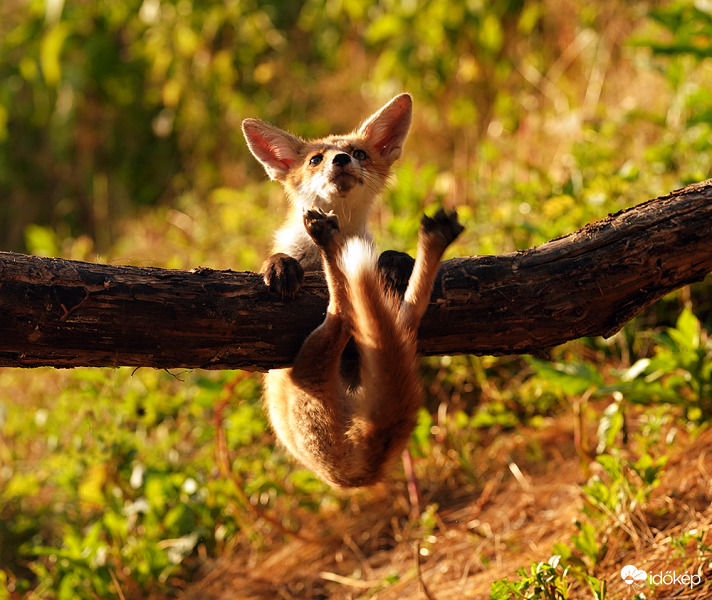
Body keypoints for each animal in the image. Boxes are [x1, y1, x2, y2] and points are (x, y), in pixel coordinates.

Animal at [241, 95, 462, 488]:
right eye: (315, 159)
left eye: (359, 153)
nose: (341, 160)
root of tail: (356, 473)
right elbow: (278, 258)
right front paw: (280, 267)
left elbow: (386, 259)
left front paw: (395, 260)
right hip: (309, 367)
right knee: (347, 312)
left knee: (368, 311)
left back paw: (429, 240)